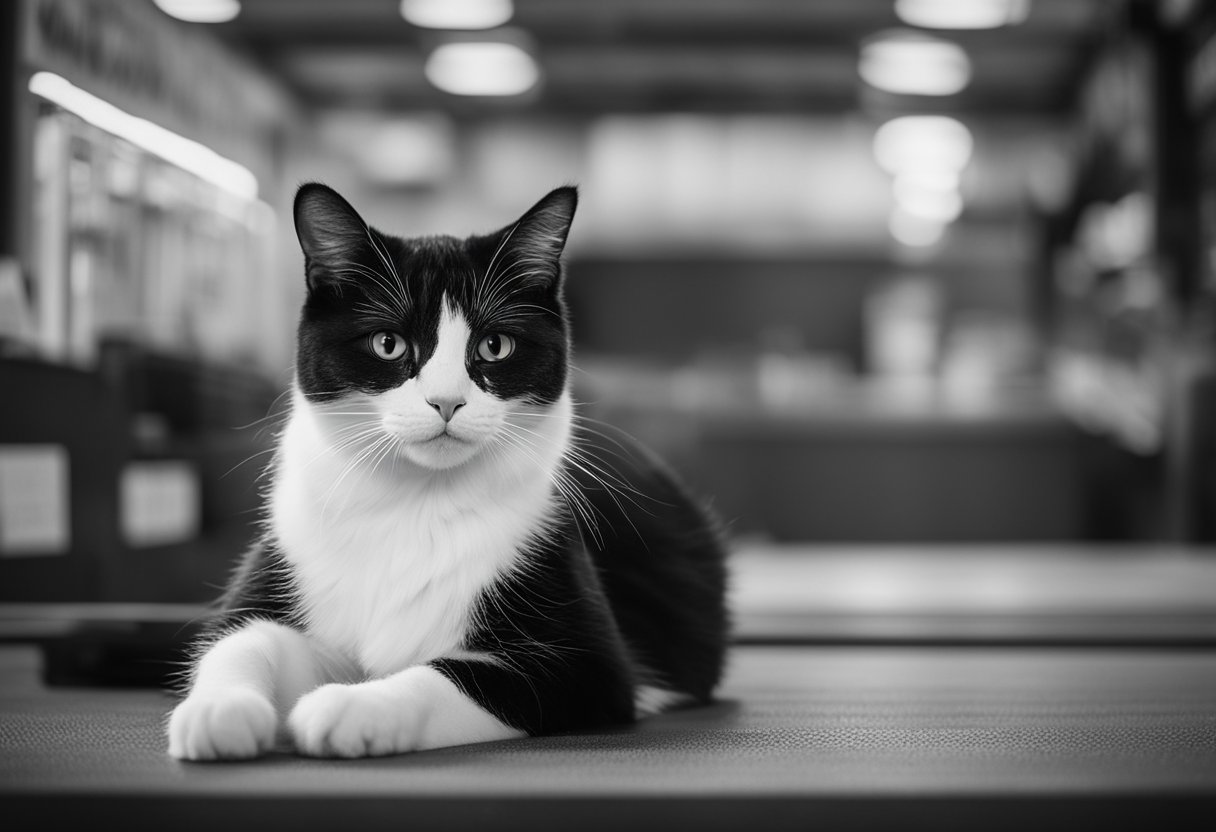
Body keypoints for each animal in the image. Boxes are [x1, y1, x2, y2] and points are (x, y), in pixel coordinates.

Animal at [165, 183, 724, 759]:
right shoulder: (287, 561)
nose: (446, 402)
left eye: (494, 346)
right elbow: (241, 637)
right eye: (388, 343)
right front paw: (220, 709)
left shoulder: (590, 666)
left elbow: (448, 674)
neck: (414, 503)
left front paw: (353, 707)